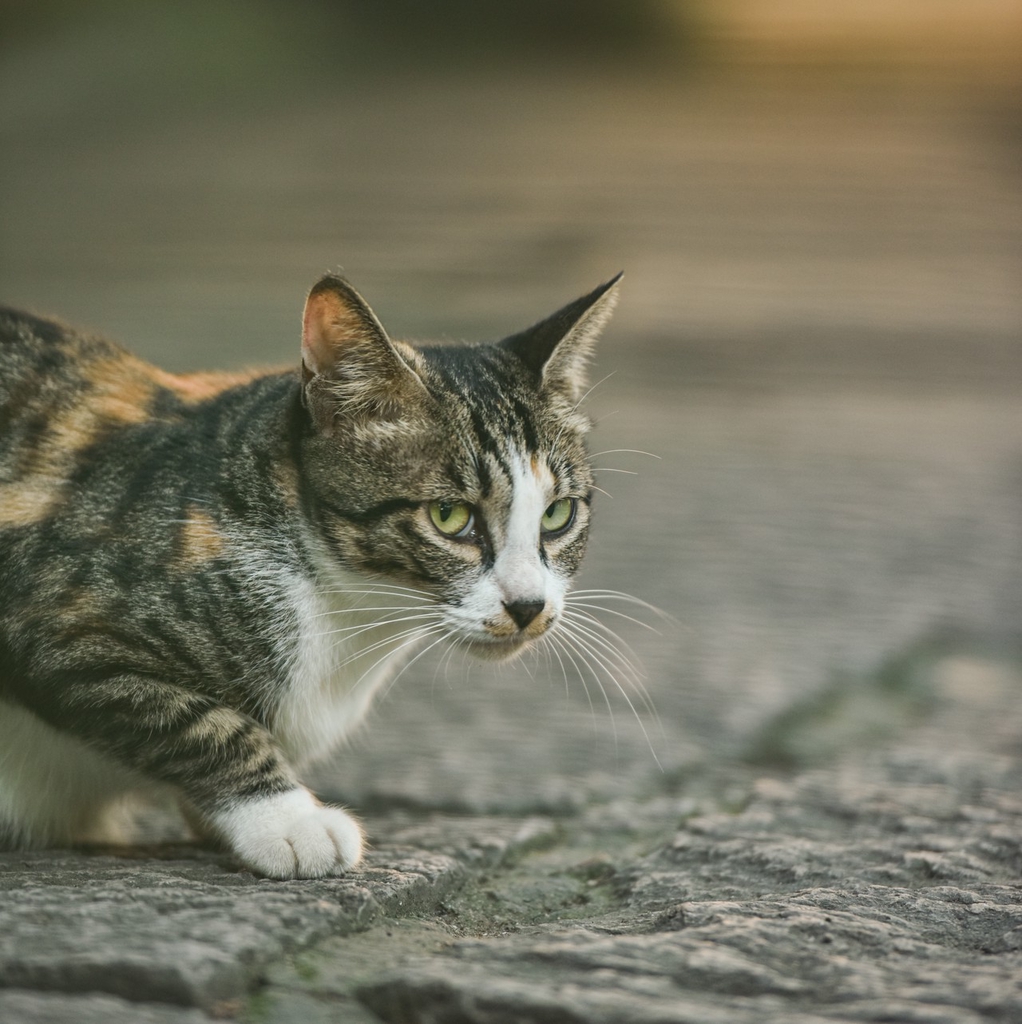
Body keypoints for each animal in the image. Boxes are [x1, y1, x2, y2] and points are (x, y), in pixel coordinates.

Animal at [0, 272, 622, 880]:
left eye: (558, 514)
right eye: (449, 516)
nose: (528, 605)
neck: (346, 610)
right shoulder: (61, 614)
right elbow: (198, 720)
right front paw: (285, 819)